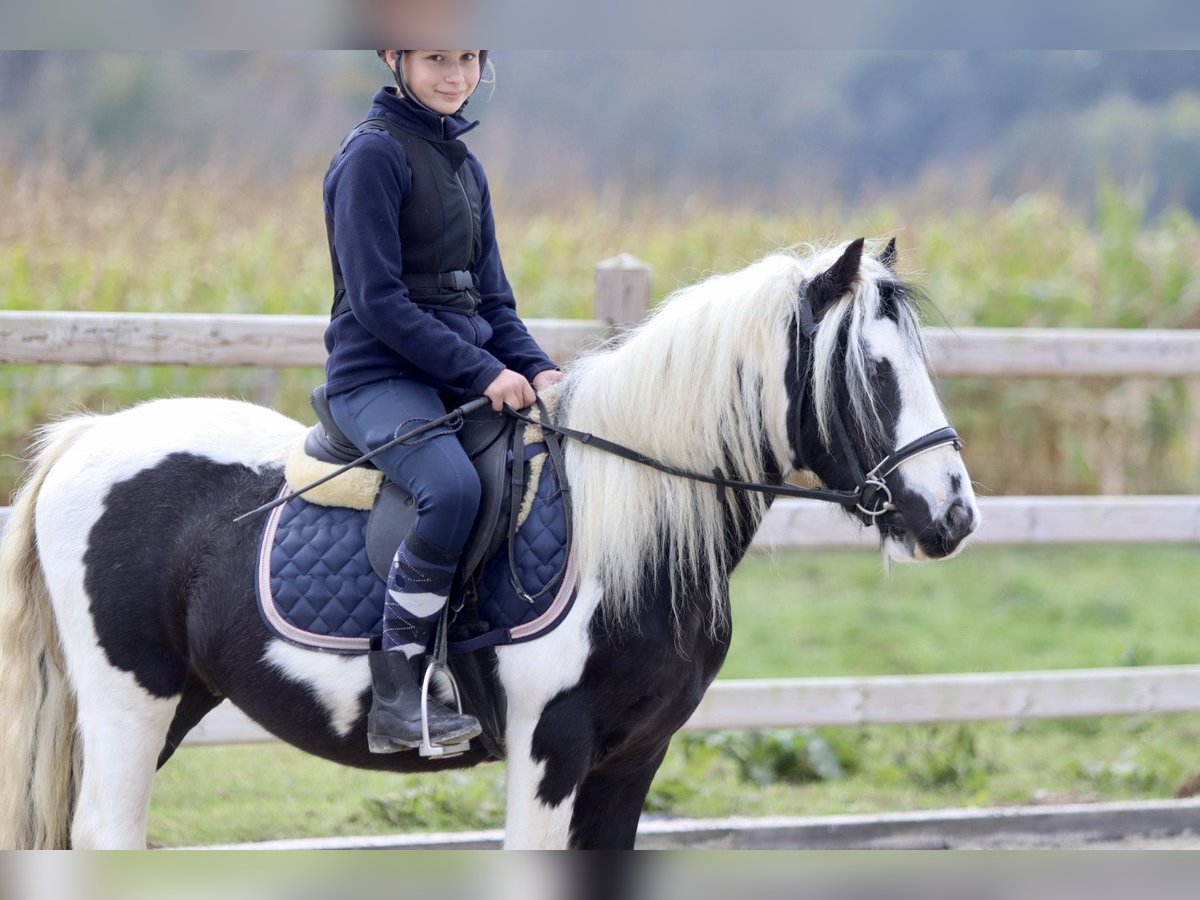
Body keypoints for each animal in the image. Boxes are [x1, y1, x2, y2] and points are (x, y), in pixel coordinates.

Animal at [0, 240, 974, 854]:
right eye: (871, 373)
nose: (954, 515)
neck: (627, 526)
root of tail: (86, 439)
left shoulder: (634, 759)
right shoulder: (551, 752)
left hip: (174, 702)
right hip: (129, 701)